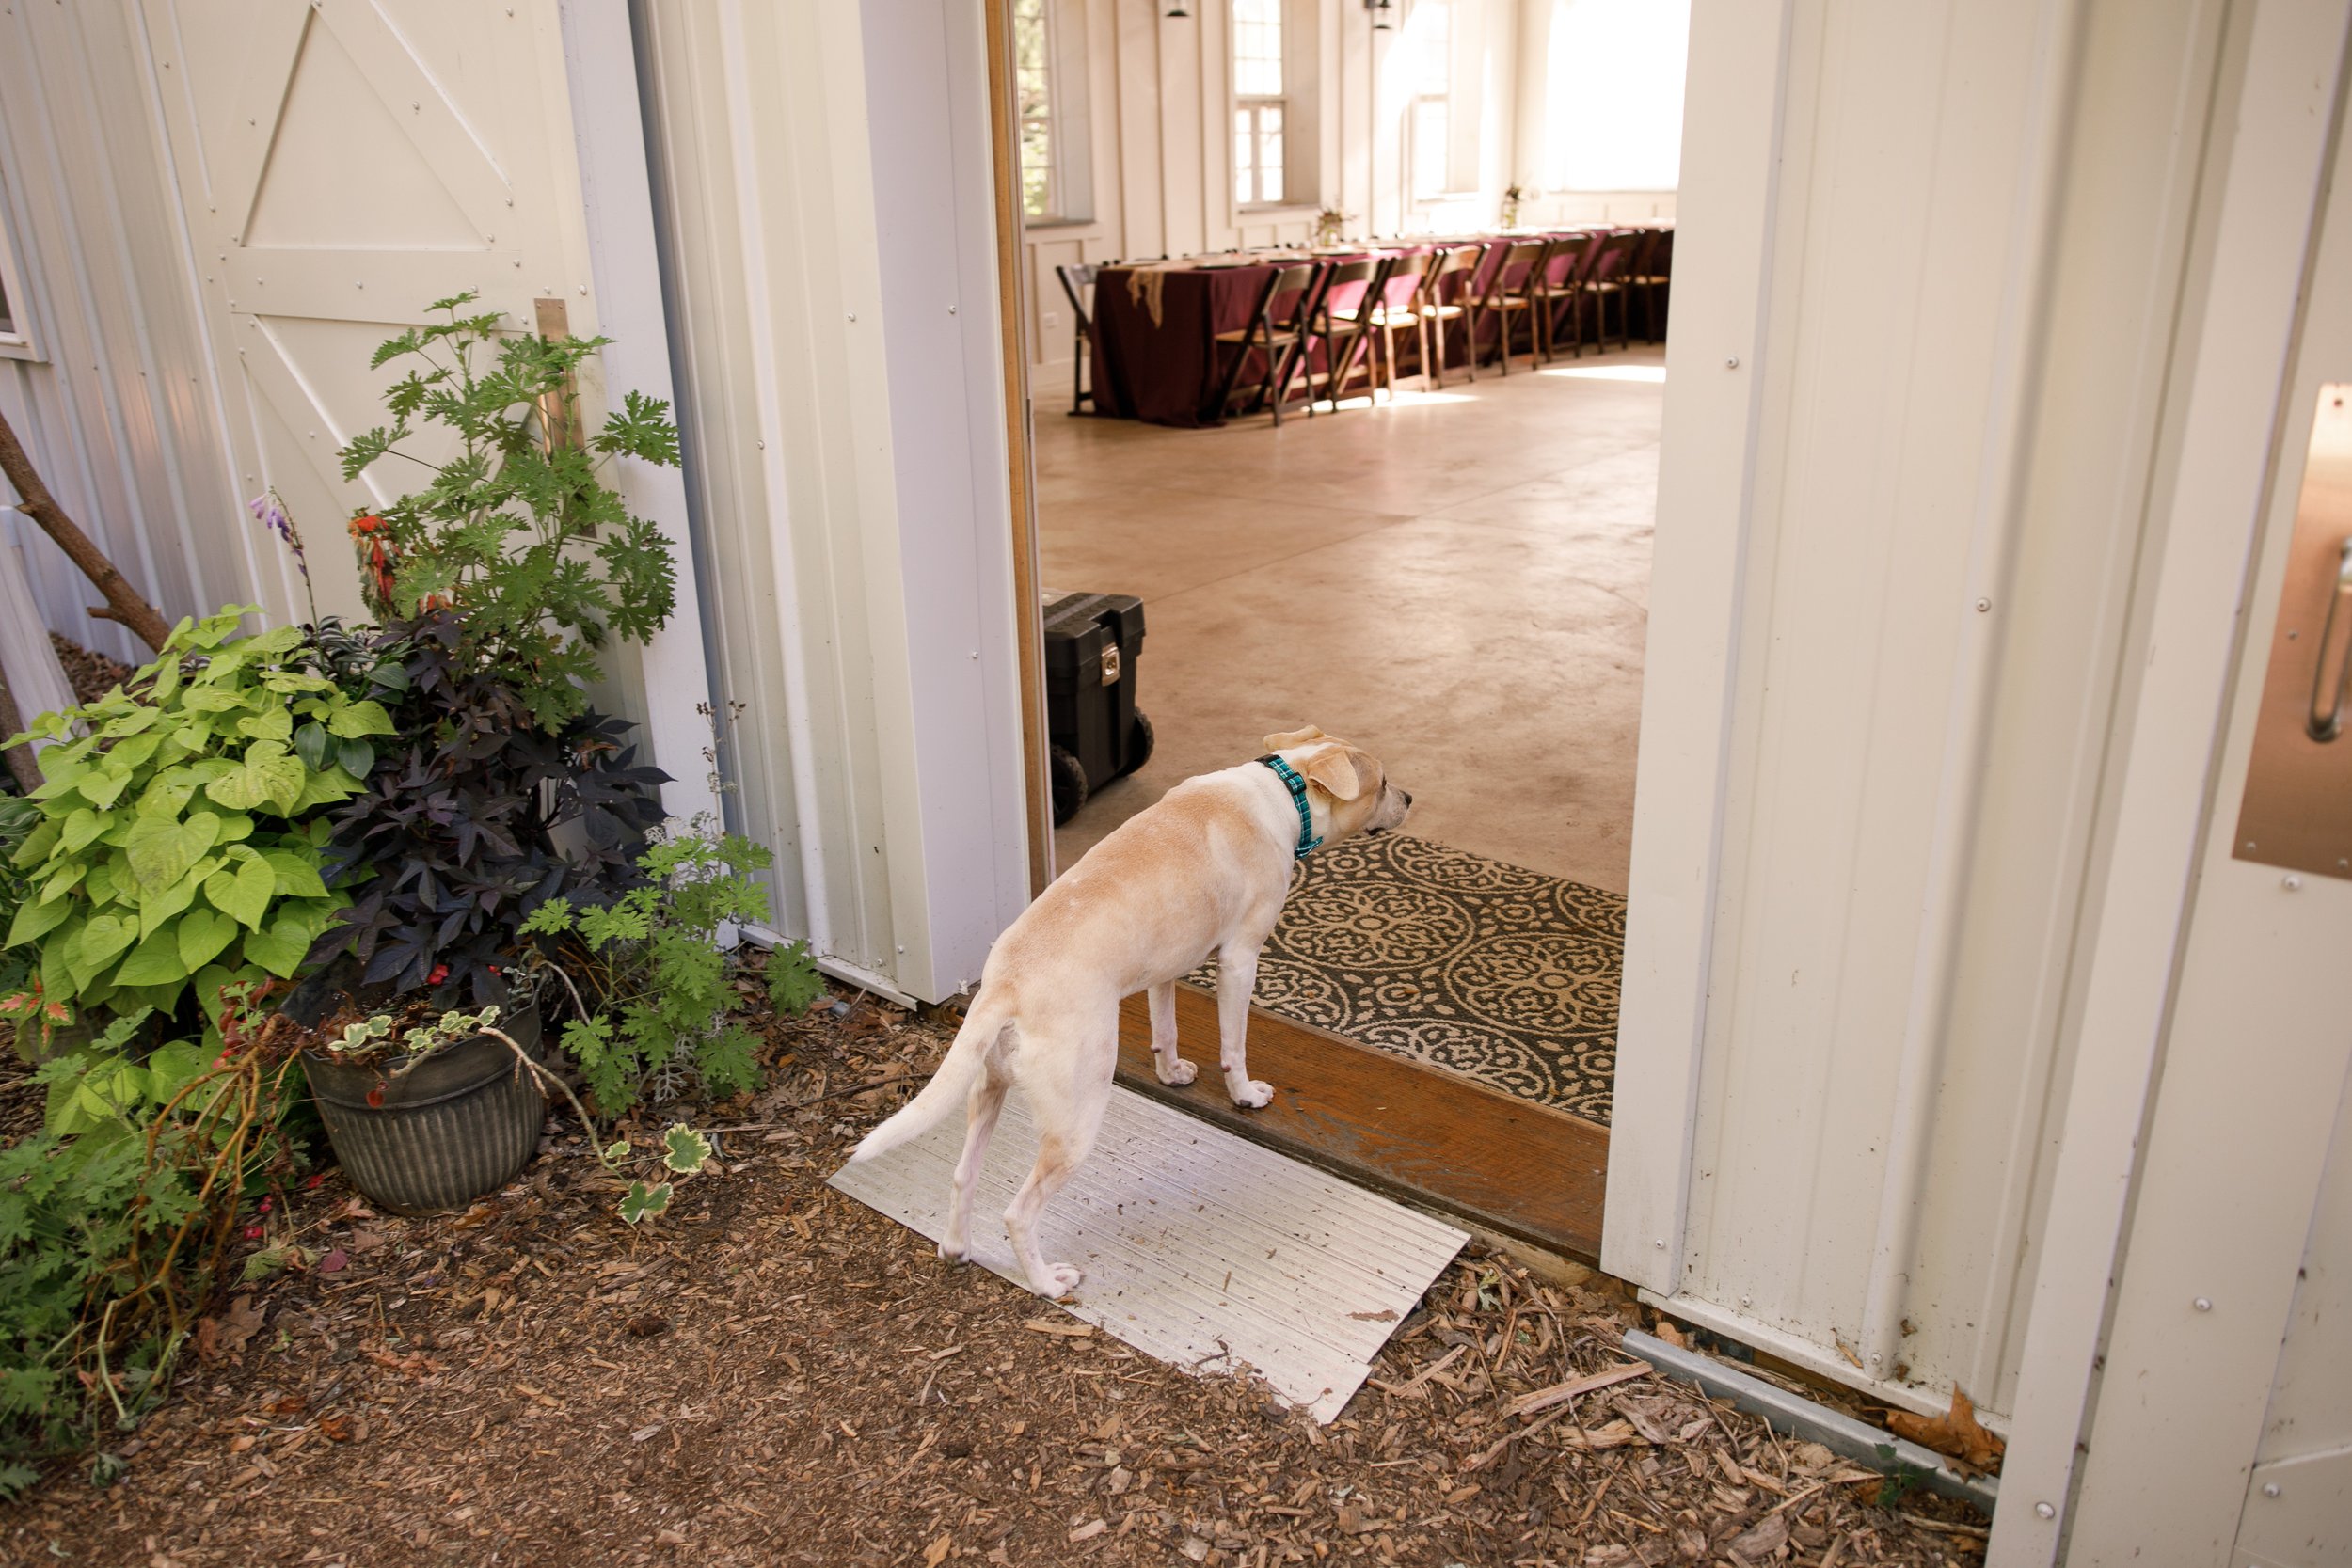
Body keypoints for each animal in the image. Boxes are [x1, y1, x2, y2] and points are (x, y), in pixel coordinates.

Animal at [851, 728, 1411, 1297]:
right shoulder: (1240, 960)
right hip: (1076, 1121)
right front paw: (1245, 1095)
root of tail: (1006, 987)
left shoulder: (1167, 965)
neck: (1284, 788)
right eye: (1384, 781)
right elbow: (1234, 1045)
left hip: (987, 1091)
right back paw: (1048, 1281)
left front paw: (1171, 1072)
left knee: (964, 1175)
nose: (1409, 799)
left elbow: (1166, 1026)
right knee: (1017, 1212)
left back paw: (956, 1248)